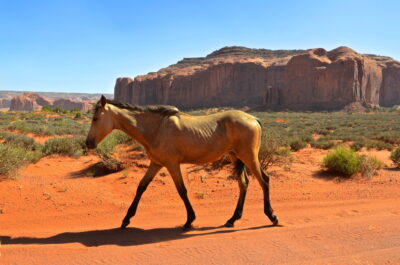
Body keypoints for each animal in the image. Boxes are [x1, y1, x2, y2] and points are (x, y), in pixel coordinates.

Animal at [85, 95, 278, 229]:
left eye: (95, 119)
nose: (88, 143)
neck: (156, 128)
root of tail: (253, 119)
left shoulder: (172, 164)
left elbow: (182, 190)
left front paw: (189, 220)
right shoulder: (156, 163)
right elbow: (141, 187)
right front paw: (126, 219)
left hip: (248, 156)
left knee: (264, 180)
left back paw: (271, 216)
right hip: (235, 156)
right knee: (243, 183)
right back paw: (232, 219)